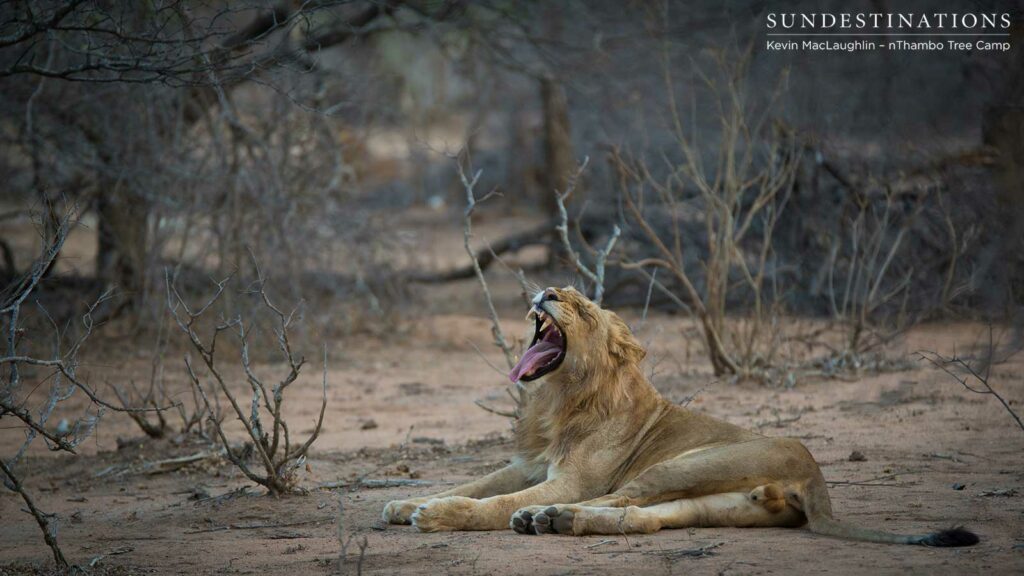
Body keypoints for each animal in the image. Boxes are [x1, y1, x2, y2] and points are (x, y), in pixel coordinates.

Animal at [383, 286, 979, 546]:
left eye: (581, 308)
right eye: (559, 290)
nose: (546, 291)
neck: (555, 401)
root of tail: (817, 477)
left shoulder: (570, 478)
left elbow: (490, 502)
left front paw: (437, 514)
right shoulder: (526, 465)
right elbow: (471, 482)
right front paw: (405, 502)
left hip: (681, 464)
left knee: (620, 499)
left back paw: (542, 516)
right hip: (716, 501)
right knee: (644, 516)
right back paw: (559, 521)